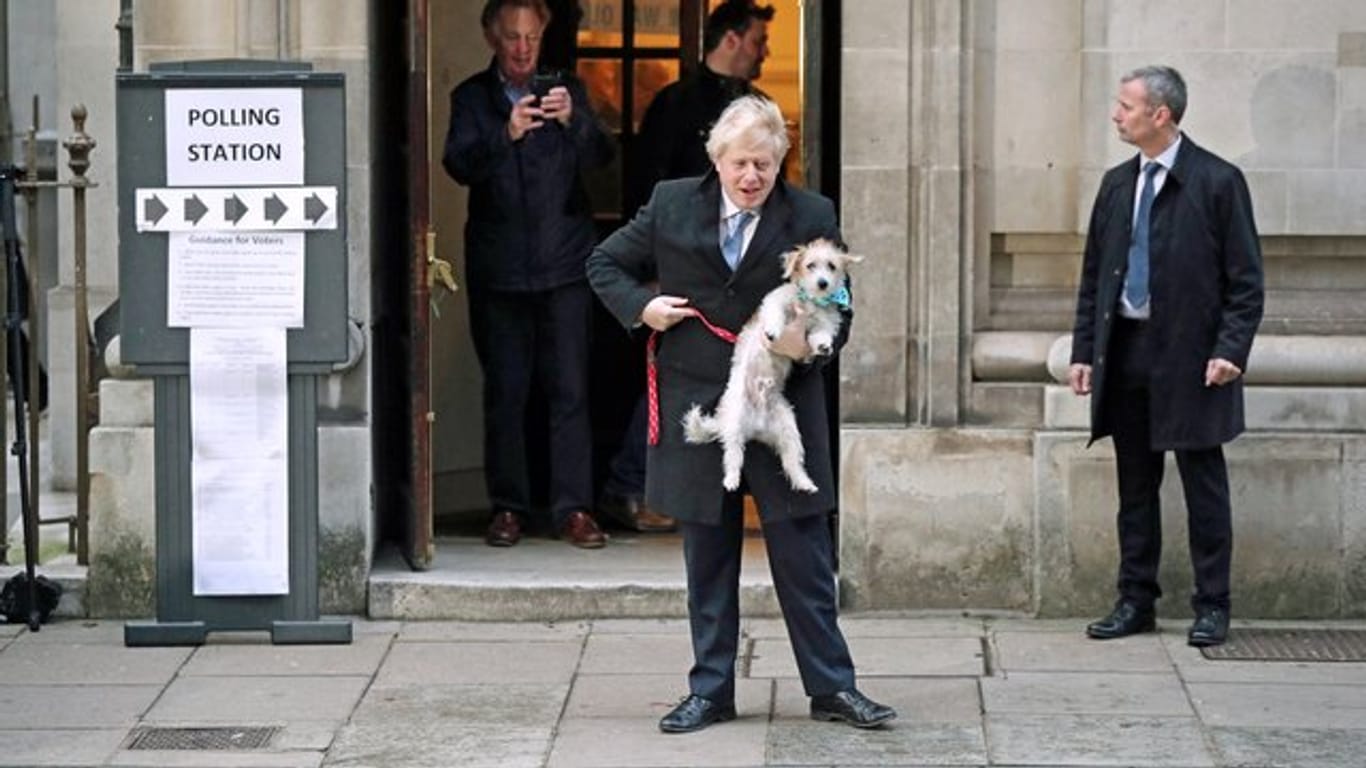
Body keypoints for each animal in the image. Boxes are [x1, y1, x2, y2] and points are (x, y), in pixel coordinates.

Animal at [683, 237, 863, 489]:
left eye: (831, 266)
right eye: (810, 265)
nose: (823, 283)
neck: (811, 302)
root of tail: (757, 426)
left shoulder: (824, 323)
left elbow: (821, 334)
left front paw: (823, 347)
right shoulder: (775, 301)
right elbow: (775, 315)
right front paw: (773, 331)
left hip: (789, 430)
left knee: (792, 463)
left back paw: (805, 483)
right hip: (735, 424)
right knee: (733, 456)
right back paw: (731, 479)